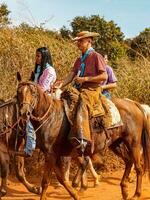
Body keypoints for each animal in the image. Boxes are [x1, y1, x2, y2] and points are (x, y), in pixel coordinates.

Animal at [16, 77, 150, 200]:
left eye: (33, 93)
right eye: (19, 93)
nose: (24, 112)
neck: (50, 117)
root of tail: (135, 104)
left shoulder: (51, 154)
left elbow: (45, 181)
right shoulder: (53, 154)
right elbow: (62, 178)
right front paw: (76, 194)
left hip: (133, 143)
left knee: (138, 168)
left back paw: (136, 194)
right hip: (116, 143)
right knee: (128, 161)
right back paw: (124, 190)